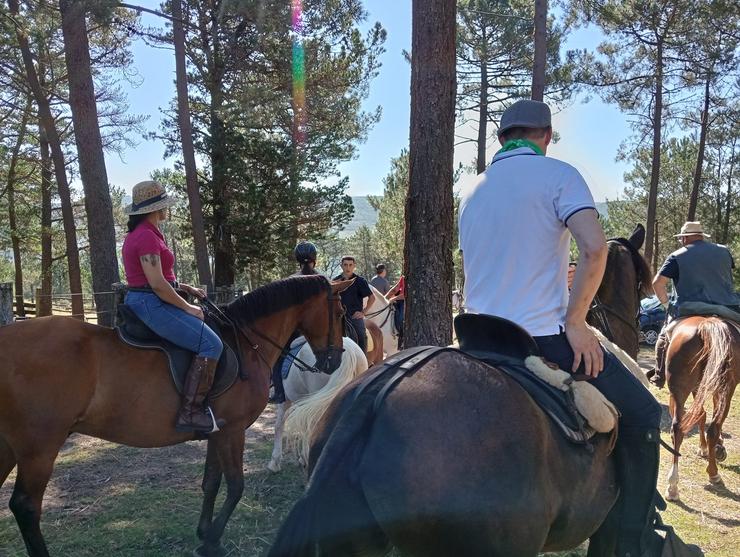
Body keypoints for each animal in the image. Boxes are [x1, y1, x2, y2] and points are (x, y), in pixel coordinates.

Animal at [0, 274, 350, 556]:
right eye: (340, 313)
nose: (333, 361)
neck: (247, 342)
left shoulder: (217, 431)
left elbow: (211, 482)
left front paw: (206, 535)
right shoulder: (233, 431)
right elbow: (236, 486)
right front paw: (212, 541)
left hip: (12, 446)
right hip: (40, 447)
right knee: (26, 507)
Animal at [660, 314, 736, 502]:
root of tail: (705, 327)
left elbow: (701, 414)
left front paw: (704, 448)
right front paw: (715, 448)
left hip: (680, 389)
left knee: (678, 428)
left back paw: (673, 486)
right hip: (725, 388)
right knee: (713, 427)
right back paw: (713, 474)